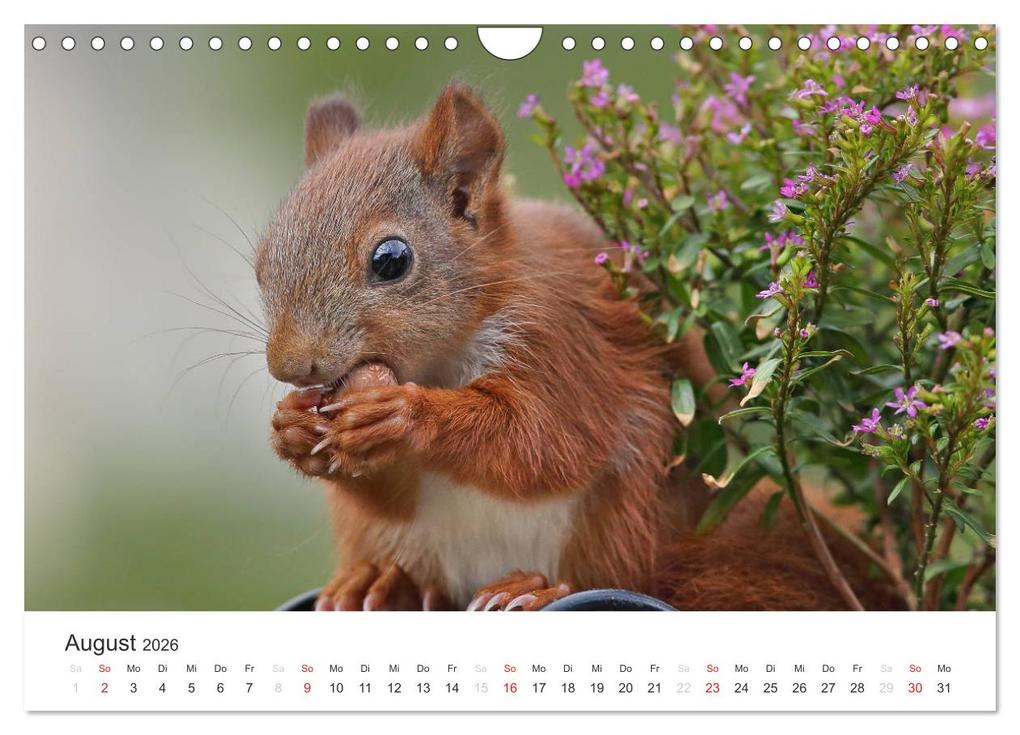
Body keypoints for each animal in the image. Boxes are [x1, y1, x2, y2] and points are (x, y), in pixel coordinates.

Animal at [257, 82, 903, 612]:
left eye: (391, 260)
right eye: (263, 260)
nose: (291, 366)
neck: (440, 362)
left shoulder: (563, 343)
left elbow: (543, 442)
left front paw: (405, 415)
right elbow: (395, 495)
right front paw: (291, 429)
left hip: (625, 516)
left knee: (614, 571)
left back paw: (537, 588)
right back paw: (384, 582)